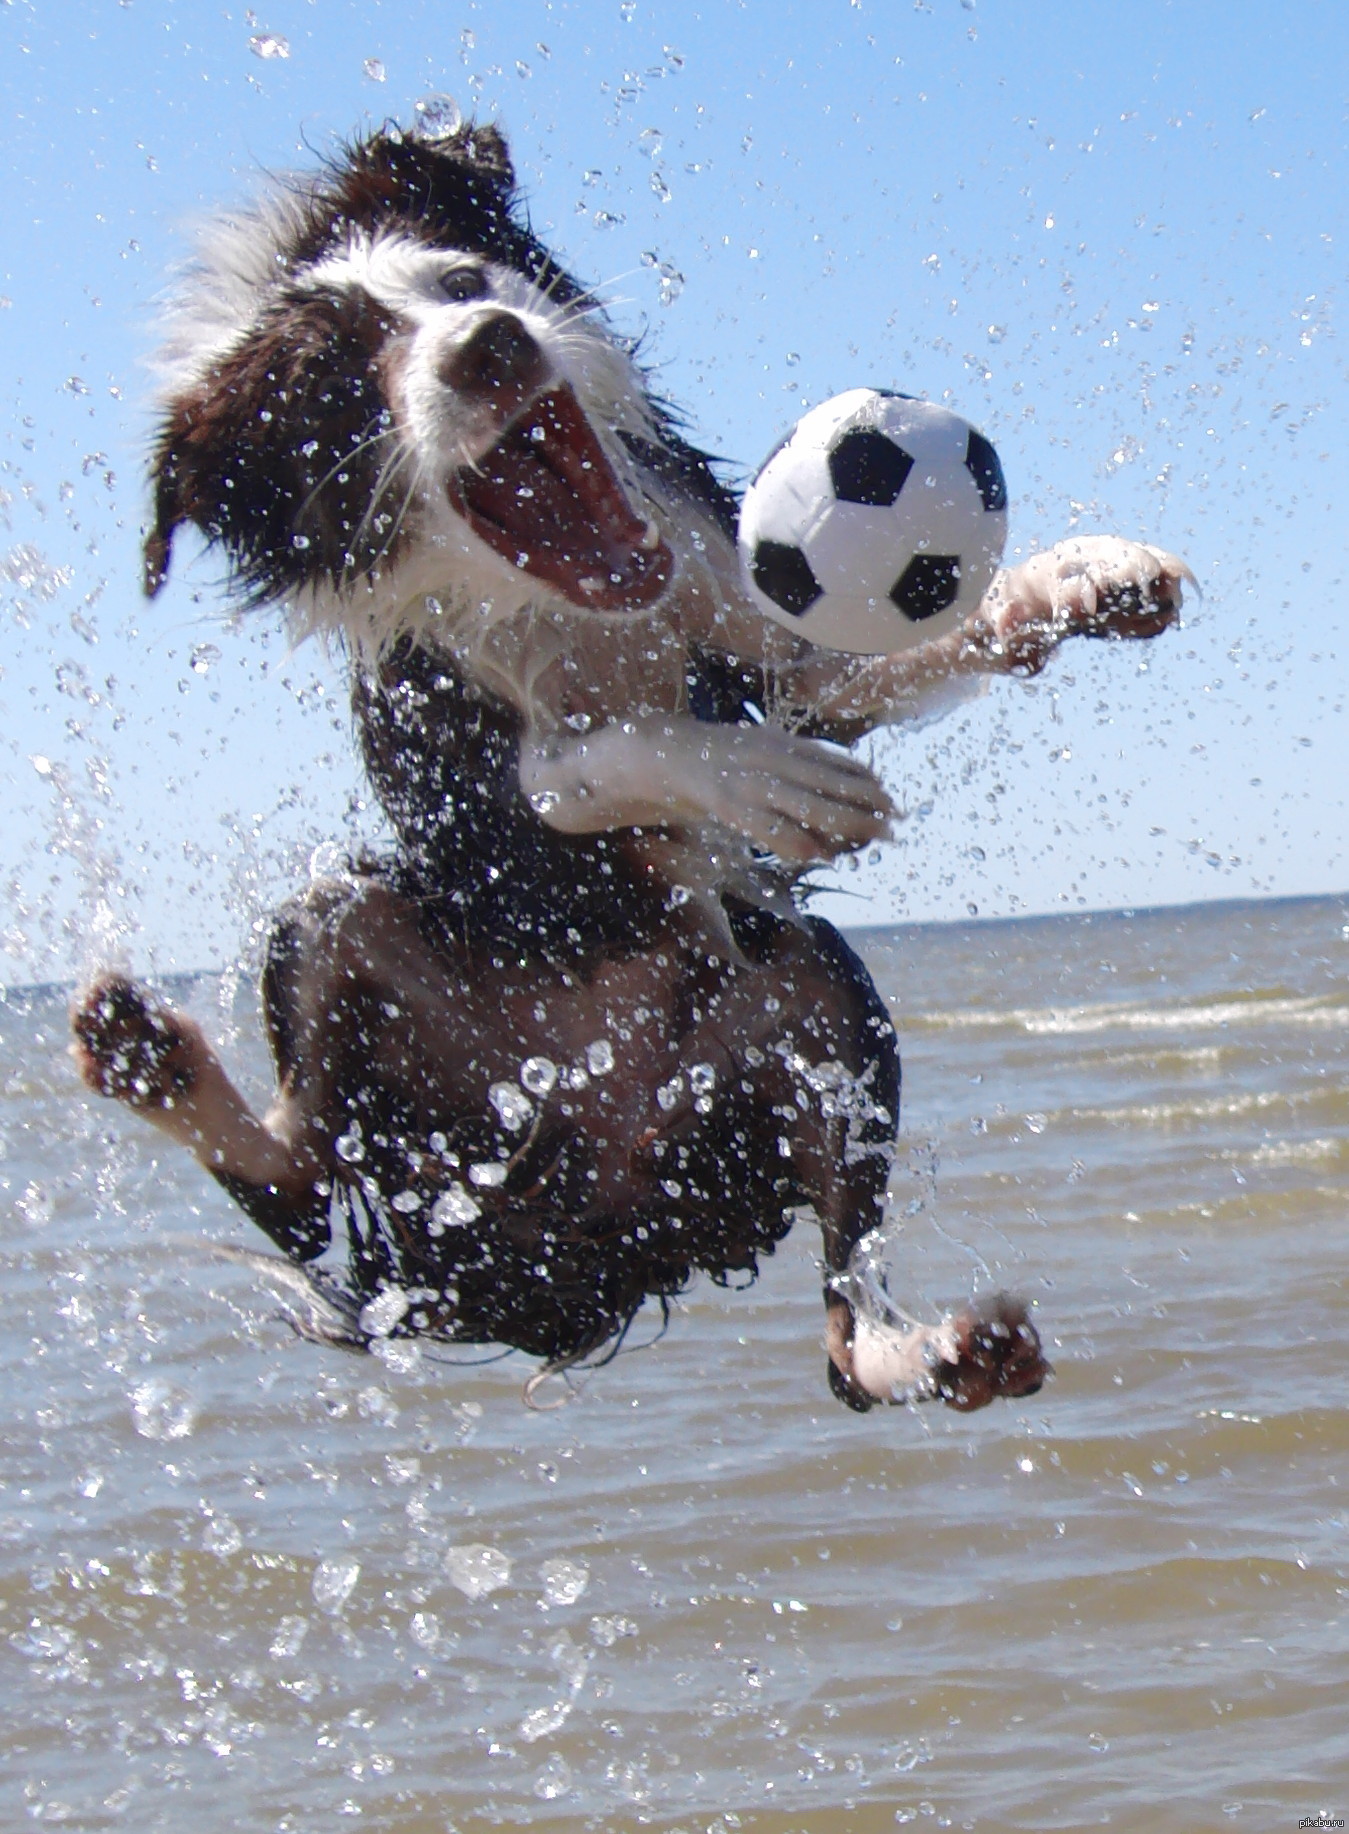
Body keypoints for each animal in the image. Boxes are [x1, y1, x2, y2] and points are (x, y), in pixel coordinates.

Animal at [73, 114, 1187, 1408]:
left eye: (462, 279)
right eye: (343, 389)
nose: (491, 344)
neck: (577, 611)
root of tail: (607, 1223)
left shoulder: (766, 642)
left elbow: (889, 649)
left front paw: (1074, 578)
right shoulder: (455, 781)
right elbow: (588, 760)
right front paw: (748, 774)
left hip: (815, 995)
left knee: (844, 1323)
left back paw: (945, 1349)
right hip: (336, 929)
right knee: (299, 1182)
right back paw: (146, 1056)